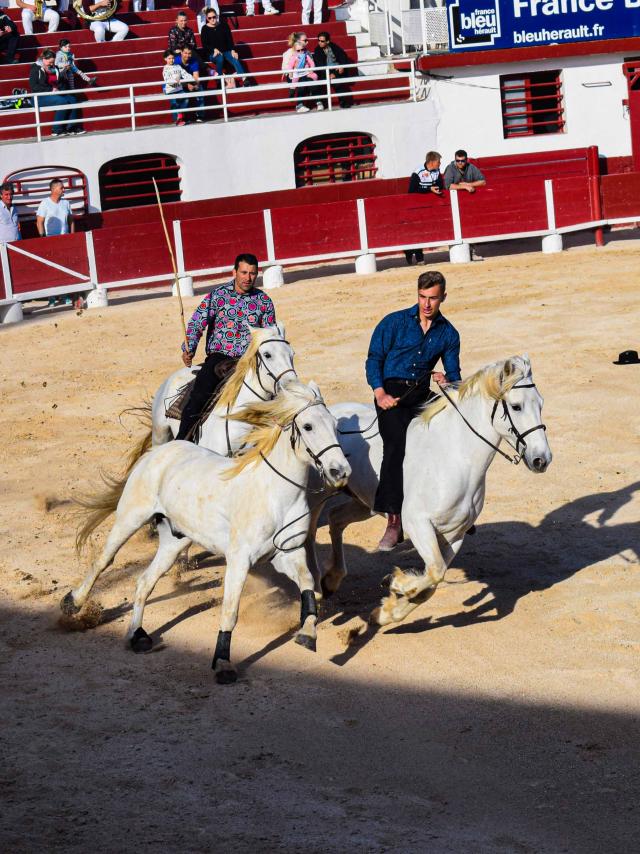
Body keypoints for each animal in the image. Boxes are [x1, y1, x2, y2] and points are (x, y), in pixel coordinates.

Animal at [61, 382, 350, 684]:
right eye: (307, 426)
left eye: (335, 425)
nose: (340, 471)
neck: (275, 493)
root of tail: (161, 451)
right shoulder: (239, 560)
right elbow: (230, 611)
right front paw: (223, 663)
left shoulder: (286, 554)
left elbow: (307, 583)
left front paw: (307, 633)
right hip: (131, 516)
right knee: (104, 559)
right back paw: (73, 603)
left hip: (174, 542)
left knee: (144, 582)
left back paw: (137, 636)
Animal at [310, 354, 552, 620]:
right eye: (517, 406)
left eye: (541, 404)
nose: (542, 459)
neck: (455, 457)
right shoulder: (418, 524)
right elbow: (435, 571)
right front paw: (397, 585)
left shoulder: (455, 534)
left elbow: (433, 581)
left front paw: (388, 610)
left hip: (364, 502)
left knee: (336, 519)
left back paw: (331, 581)